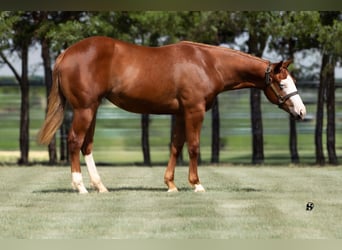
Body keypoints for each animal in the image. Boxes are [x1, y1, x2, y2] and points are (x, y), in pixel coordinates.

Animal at [38, 36, 308, 194]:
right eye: (282, 84)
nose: (301, 112)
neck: (208, 63)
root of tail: (66, 53)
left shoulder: (180, 113)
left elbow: (176, 147)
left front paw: (171, 184)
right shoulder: (194, 111)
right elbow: (194, 147)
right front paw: (197, 184)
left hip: (92, 108)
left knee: (87, 145)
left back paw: (100, 186)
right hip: (84, 109)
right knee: (75, 141)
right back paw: (80, 187)